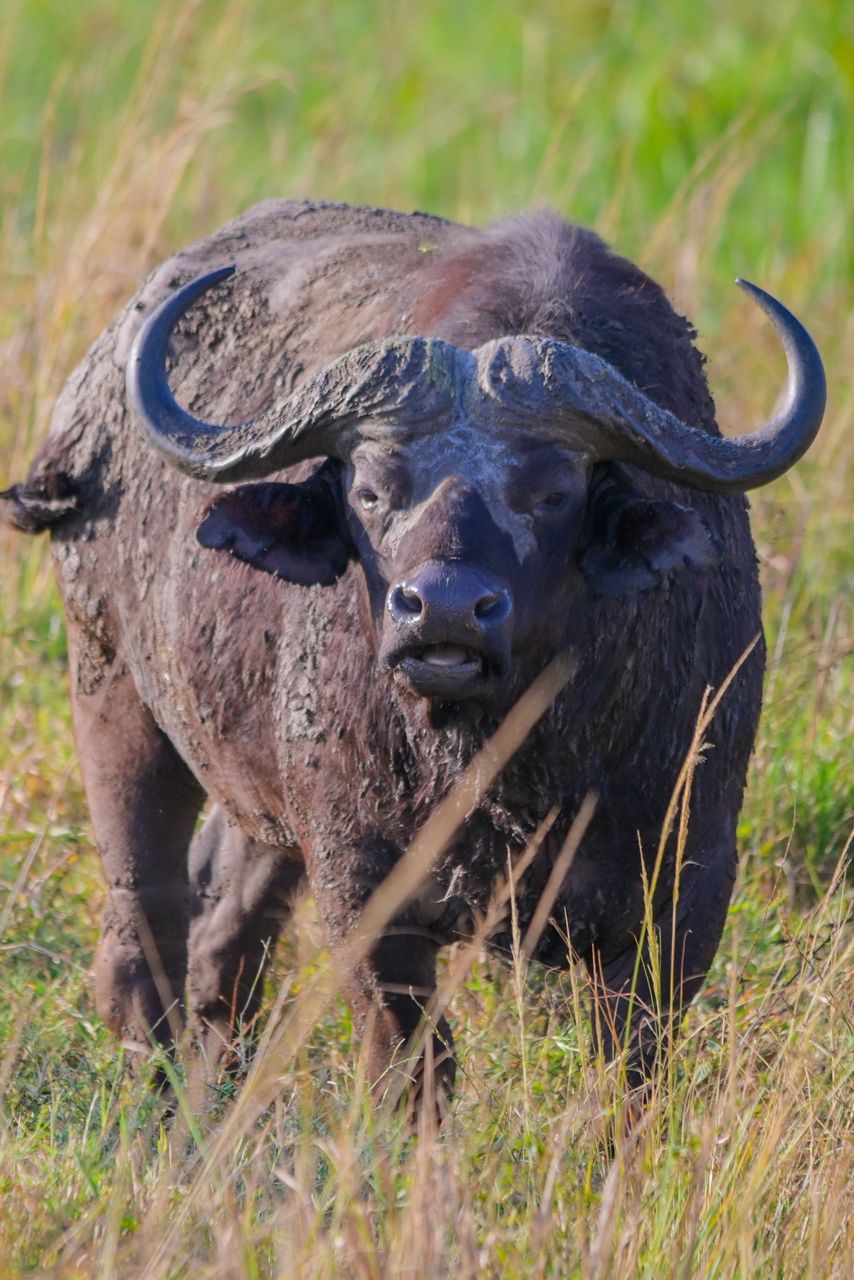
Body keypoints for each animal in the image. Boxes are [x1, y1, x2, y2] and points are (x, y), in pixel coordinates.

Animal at [2, 200, 825, 1103]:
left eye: (553, 492)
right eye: (369, 489)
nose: (445, 611)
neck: (505, 767)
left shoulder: (687, 886)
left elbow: (631, 1070)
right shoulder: (362, 880)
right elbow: (412, 1064)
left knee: (227, 927)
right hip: (113, 692)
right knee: (142, 929)